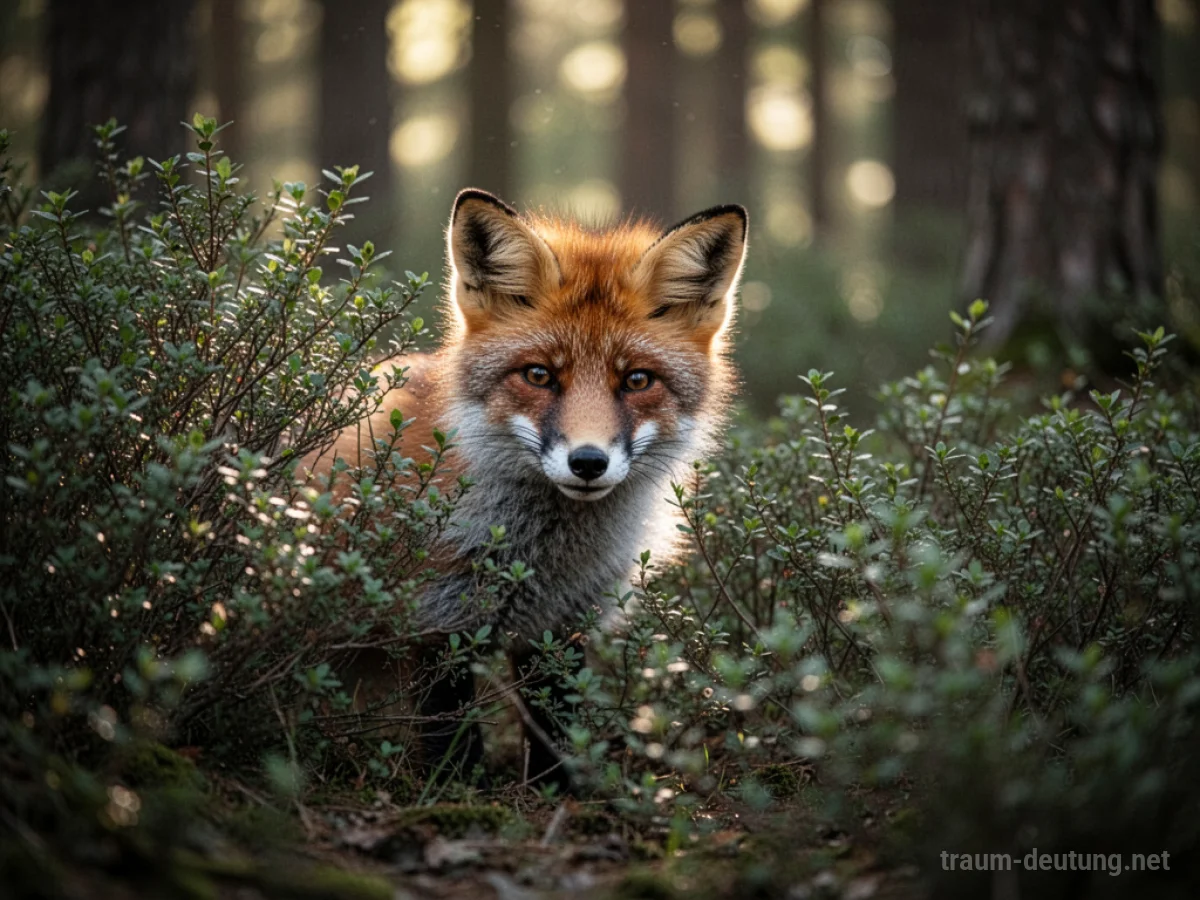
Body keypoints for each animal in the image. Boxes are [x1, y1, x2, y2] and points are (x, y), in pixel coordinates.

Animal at [316, 188, 747, 784]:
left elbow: (556, 723)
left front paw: (557, 789)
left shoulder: (563, 625)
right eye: (539, 375)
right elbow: (448, 731)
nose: (587, 462)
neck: (544, 552)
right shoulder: (437, 616)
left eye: (636, 380)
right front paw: (452, 789)